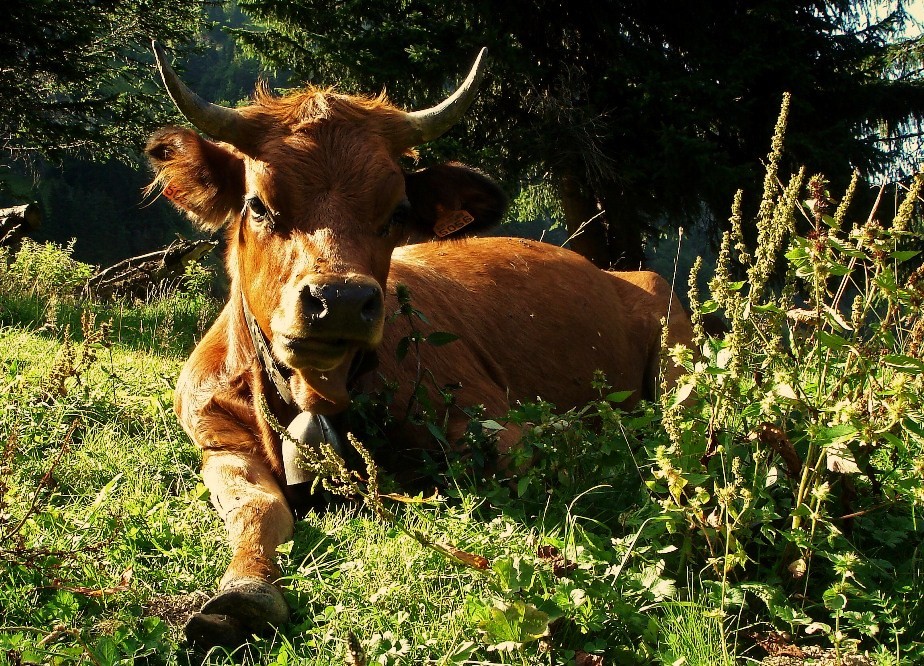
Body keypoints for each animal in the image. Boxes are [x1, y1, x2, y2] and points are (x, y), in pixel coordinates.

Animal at [146, 44, 692, 644]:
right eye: (259, 205)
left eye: (398, 212)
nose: (340, 299)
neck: (318, 395)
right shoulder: (217, 440)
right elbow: (257, 508)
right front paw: (244, 591)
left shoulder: (489, 419)